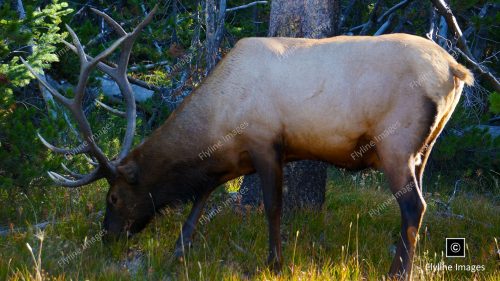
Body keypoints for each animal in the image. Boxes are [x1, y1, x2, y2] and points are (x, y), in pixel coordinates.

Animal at [23, 5, 474, 278]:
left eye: (114, 197)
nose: (108, 238)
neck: (220, 119)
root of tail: (457, 69)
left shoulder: (265, 142)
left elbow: (272, 207)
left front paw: (274, 262)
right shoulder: (231, 156)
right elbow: (201, 198)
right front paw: (178, 252)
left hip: (396, 144)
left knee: (414, 205)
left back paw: (398, 271)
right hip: (425, 148)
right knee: (417, 202)